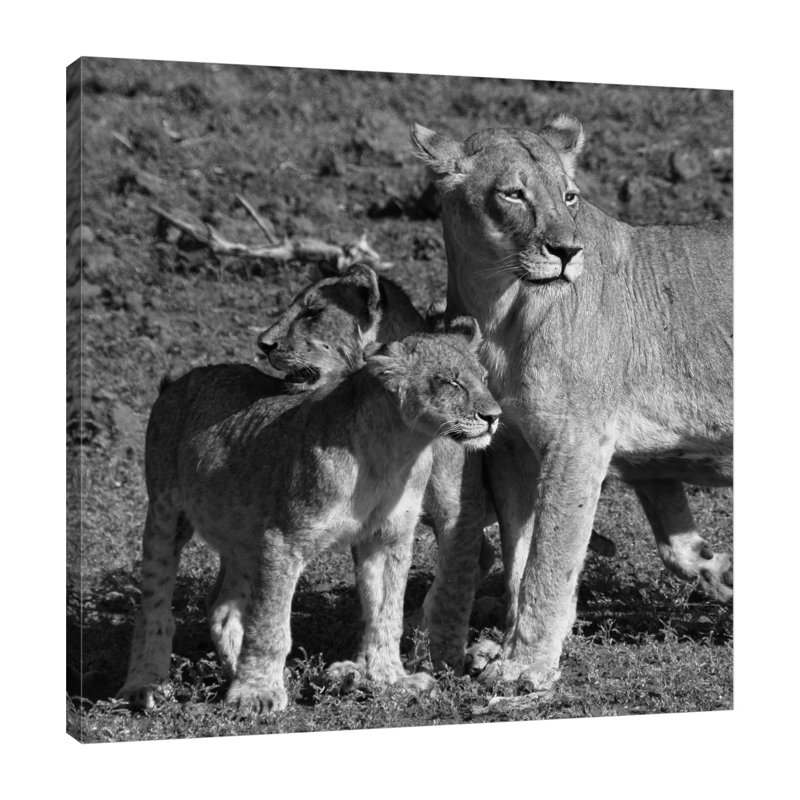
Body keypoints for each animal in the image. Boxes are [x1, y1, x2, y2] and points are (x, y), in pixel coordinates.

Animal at [117, 319, 501, 713]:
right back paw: (144, 686)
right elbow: (270, 623)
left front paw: (392, 680)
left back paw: (237, 671)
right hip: (166, 512)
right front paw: (255, 693)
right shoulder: (284, 537)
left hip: (244, 533)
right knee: (154, 606)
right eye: (451, 382)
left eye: (485, 378)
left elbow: (387, 613)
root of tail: (180, 381)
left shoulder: (387, 538)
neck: (398, 449)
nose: (494, 417)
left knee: (222, 608)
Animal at [411, 115, 732, 690]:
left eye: (570, 196)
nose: (567, 253)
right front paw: (505, 648)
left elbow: (551, 553)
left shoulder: (577, 438)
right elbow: (520, 553)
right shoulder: (510, 446)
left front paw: (525, 667)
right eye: (514, 194)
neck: (499, 309)